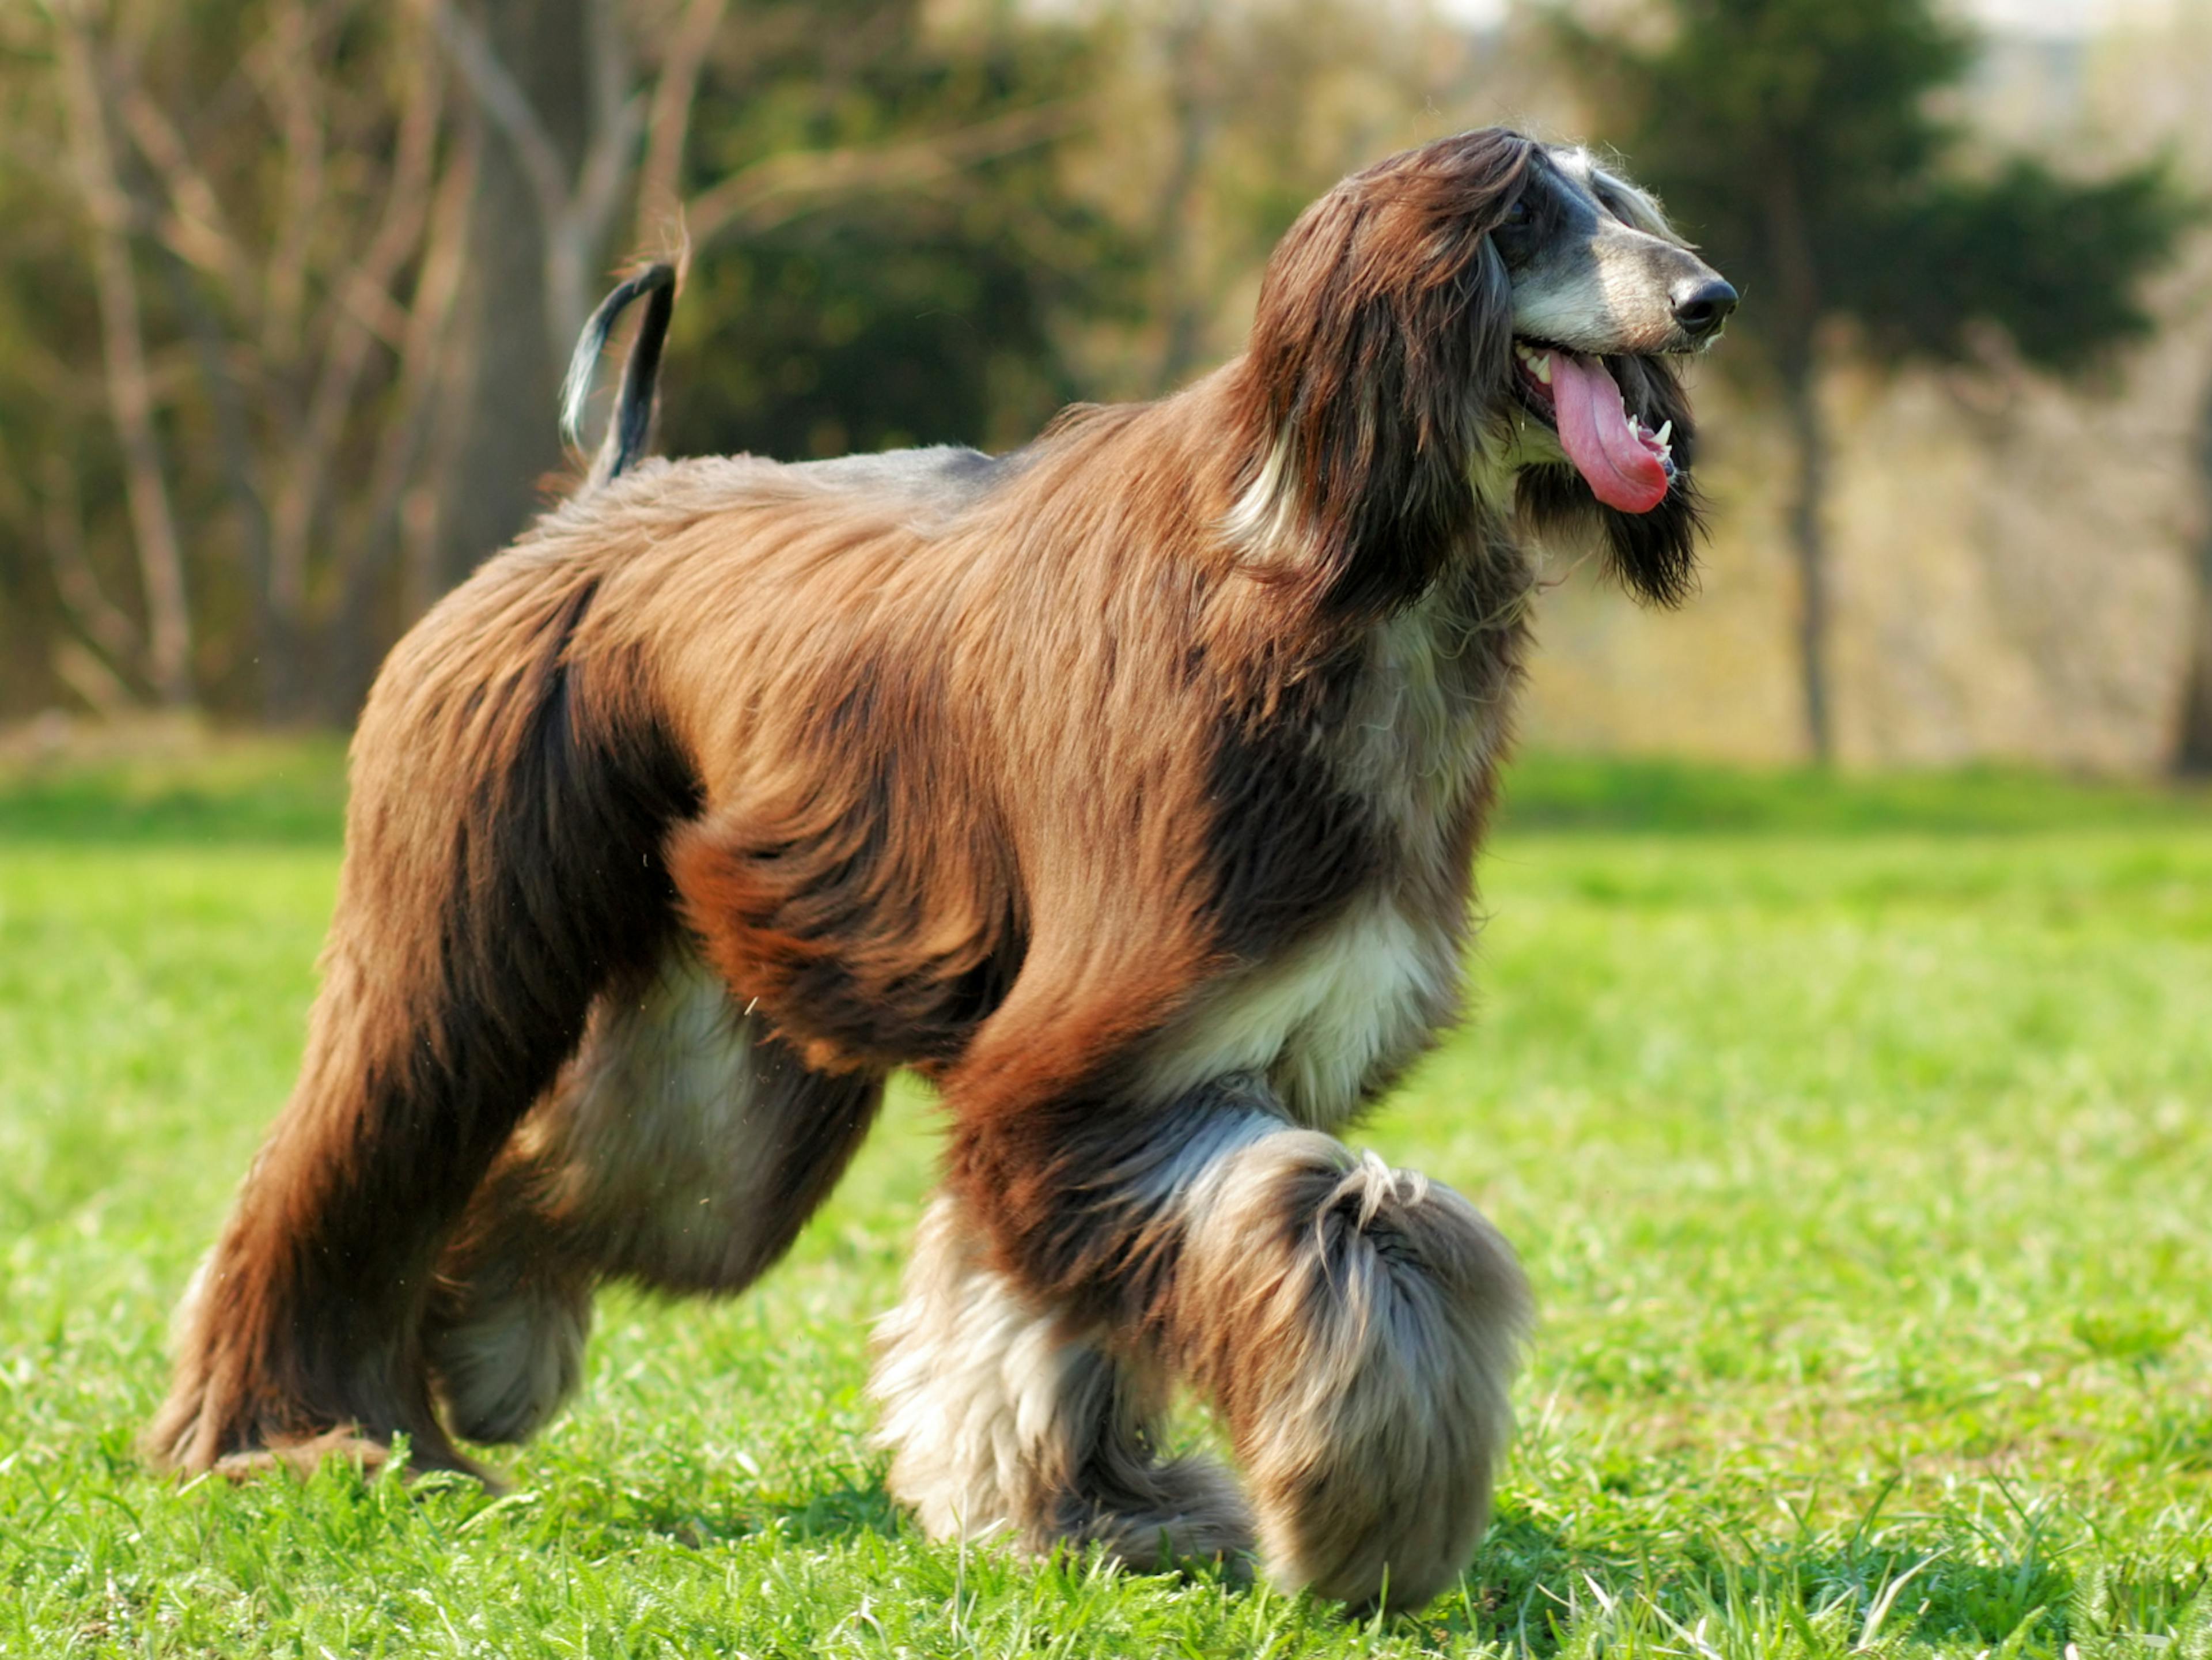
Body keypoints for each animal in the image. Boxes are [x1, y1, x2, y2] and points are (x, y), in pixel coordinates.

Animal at [156, 137, 1734, 1620]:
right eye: (1519, 218)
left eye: (1620, 200)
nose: (1708, 300)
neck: (1341, 574)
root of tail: (597, 503)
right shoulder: (1092, 1054)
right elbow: (1340, 1234)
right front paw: (1362, 1519)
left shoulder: (1187, 1060)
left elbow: (1060, 1307)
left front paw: (1089, 1514)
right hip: (462, 922)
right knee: (351, 1152)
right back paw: (290, 1438)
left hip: (729, 1066)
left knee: (586, 1180)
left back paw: (478, 1349)